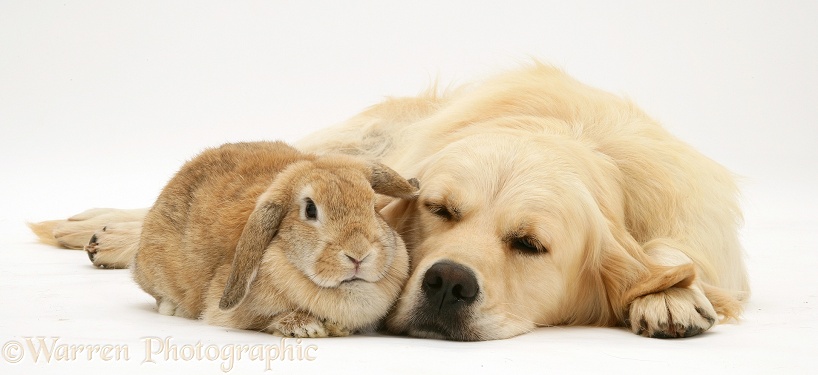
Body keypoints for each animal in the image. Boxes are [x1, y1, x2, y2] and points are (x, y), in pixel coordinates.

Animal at [132, 141, 420, 338]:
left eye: (373, 206)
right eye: (310, 210)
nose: (359, 254)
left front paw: (337, 327)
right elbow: (264, 320)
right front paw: (306, 327)